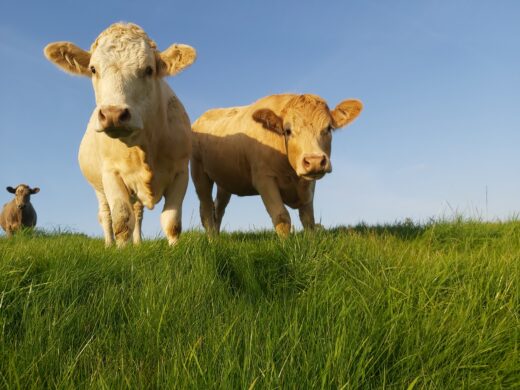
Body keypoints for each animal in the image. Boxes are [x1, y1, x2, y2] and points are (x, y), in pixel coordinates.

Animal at [43, 21, 195, 245]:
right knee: (106, 215)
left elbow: (172, 223)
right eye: (93, 69)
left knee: (137, 212)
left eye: (149, 69)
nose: (113, 114)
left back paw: (137, 243)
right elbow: (122, 222)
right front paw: (123, 251)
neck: (144, 146)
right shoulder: (111, 174)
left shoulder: (181, 172)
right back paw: (109, 245)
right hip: (98, 188)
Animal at [190, 93, 362, 236]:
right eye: (288, 131)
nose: (314, 161)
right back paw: (212, 241)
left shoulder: (308, 184)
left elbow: (308, 219)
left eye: (328, 128)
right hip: (198, 172)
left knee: (218, 209)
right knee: (206, 210)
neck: (292, 175)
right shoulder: (264, 179)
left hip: (225, 180)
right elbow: (281, 216)